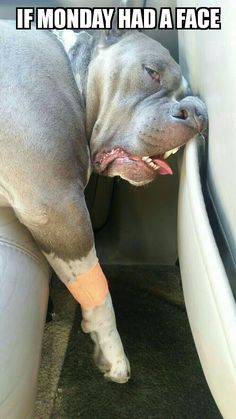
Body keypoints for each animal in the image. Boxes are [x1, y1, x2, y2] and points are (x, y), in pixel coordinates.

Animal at [0, 18, 206, 384]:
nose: (197, 111)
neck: (73, 70)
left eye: (185, 94)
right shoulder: (58, 207)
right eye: (151, 72)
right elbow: (98, 289)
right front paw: (112, 351)